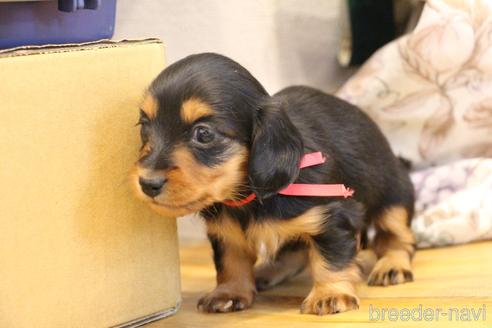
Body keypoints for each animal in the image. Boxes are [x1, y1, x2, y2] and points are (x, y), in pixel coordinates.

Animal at [131, 53, 416, 316]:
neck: (249, 196)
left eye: (203, 134)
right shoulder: (225, 230)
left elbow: (331, 258)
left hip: (394, 198)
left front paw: (329, 294)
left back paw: (392, 265)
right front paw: (229, 292)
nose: (147, 183)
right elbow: (231, 261)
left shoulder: (333, 215)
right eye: (144, 126)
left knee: (397, 239)